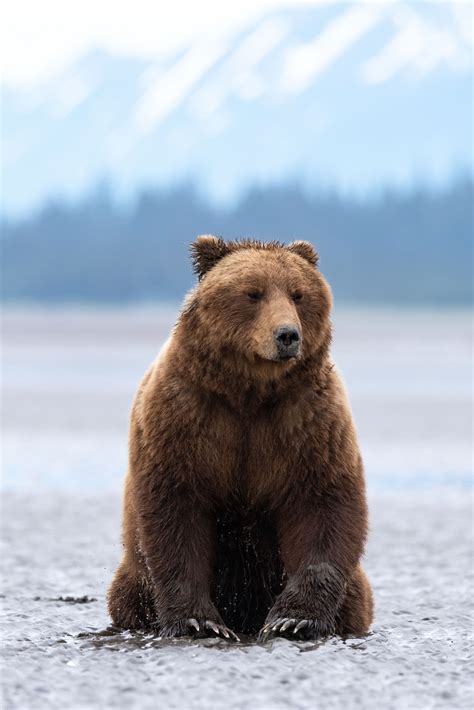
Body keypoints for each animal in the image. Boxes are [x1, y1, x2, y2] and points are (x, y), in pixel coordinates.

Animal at [108, 236, 374, 644]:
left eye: (298, 294)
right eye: (253, 293)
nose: (287, 335)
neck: (249, 393)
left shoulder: (309, 424)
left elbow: (323, 503)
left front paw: (292, 620)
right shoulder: (183, 418)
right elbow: (174, 510)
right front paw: (201, 622)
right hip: (131, 582)